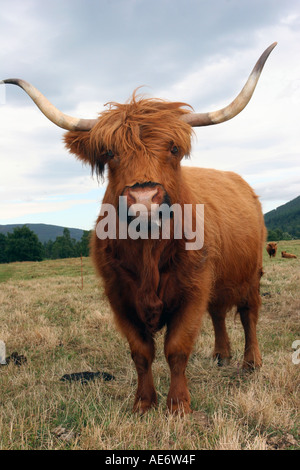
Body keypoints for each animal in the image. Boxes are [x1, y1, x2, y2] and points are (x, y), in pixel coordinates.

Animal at [1, 42, 276, 414]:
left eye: (173, 148)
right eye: (109, 153)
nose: (144, 198)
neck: (148, 251)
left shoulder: (193, 290)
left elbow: (177, 349)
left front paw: (178, 405)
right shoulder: (119, 296)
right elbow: (141, 353)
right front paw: (144, 403)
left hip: (251, 272)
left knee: (249, 314)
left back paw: (251, 362)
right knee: (219, 312)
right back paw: (221, 355)